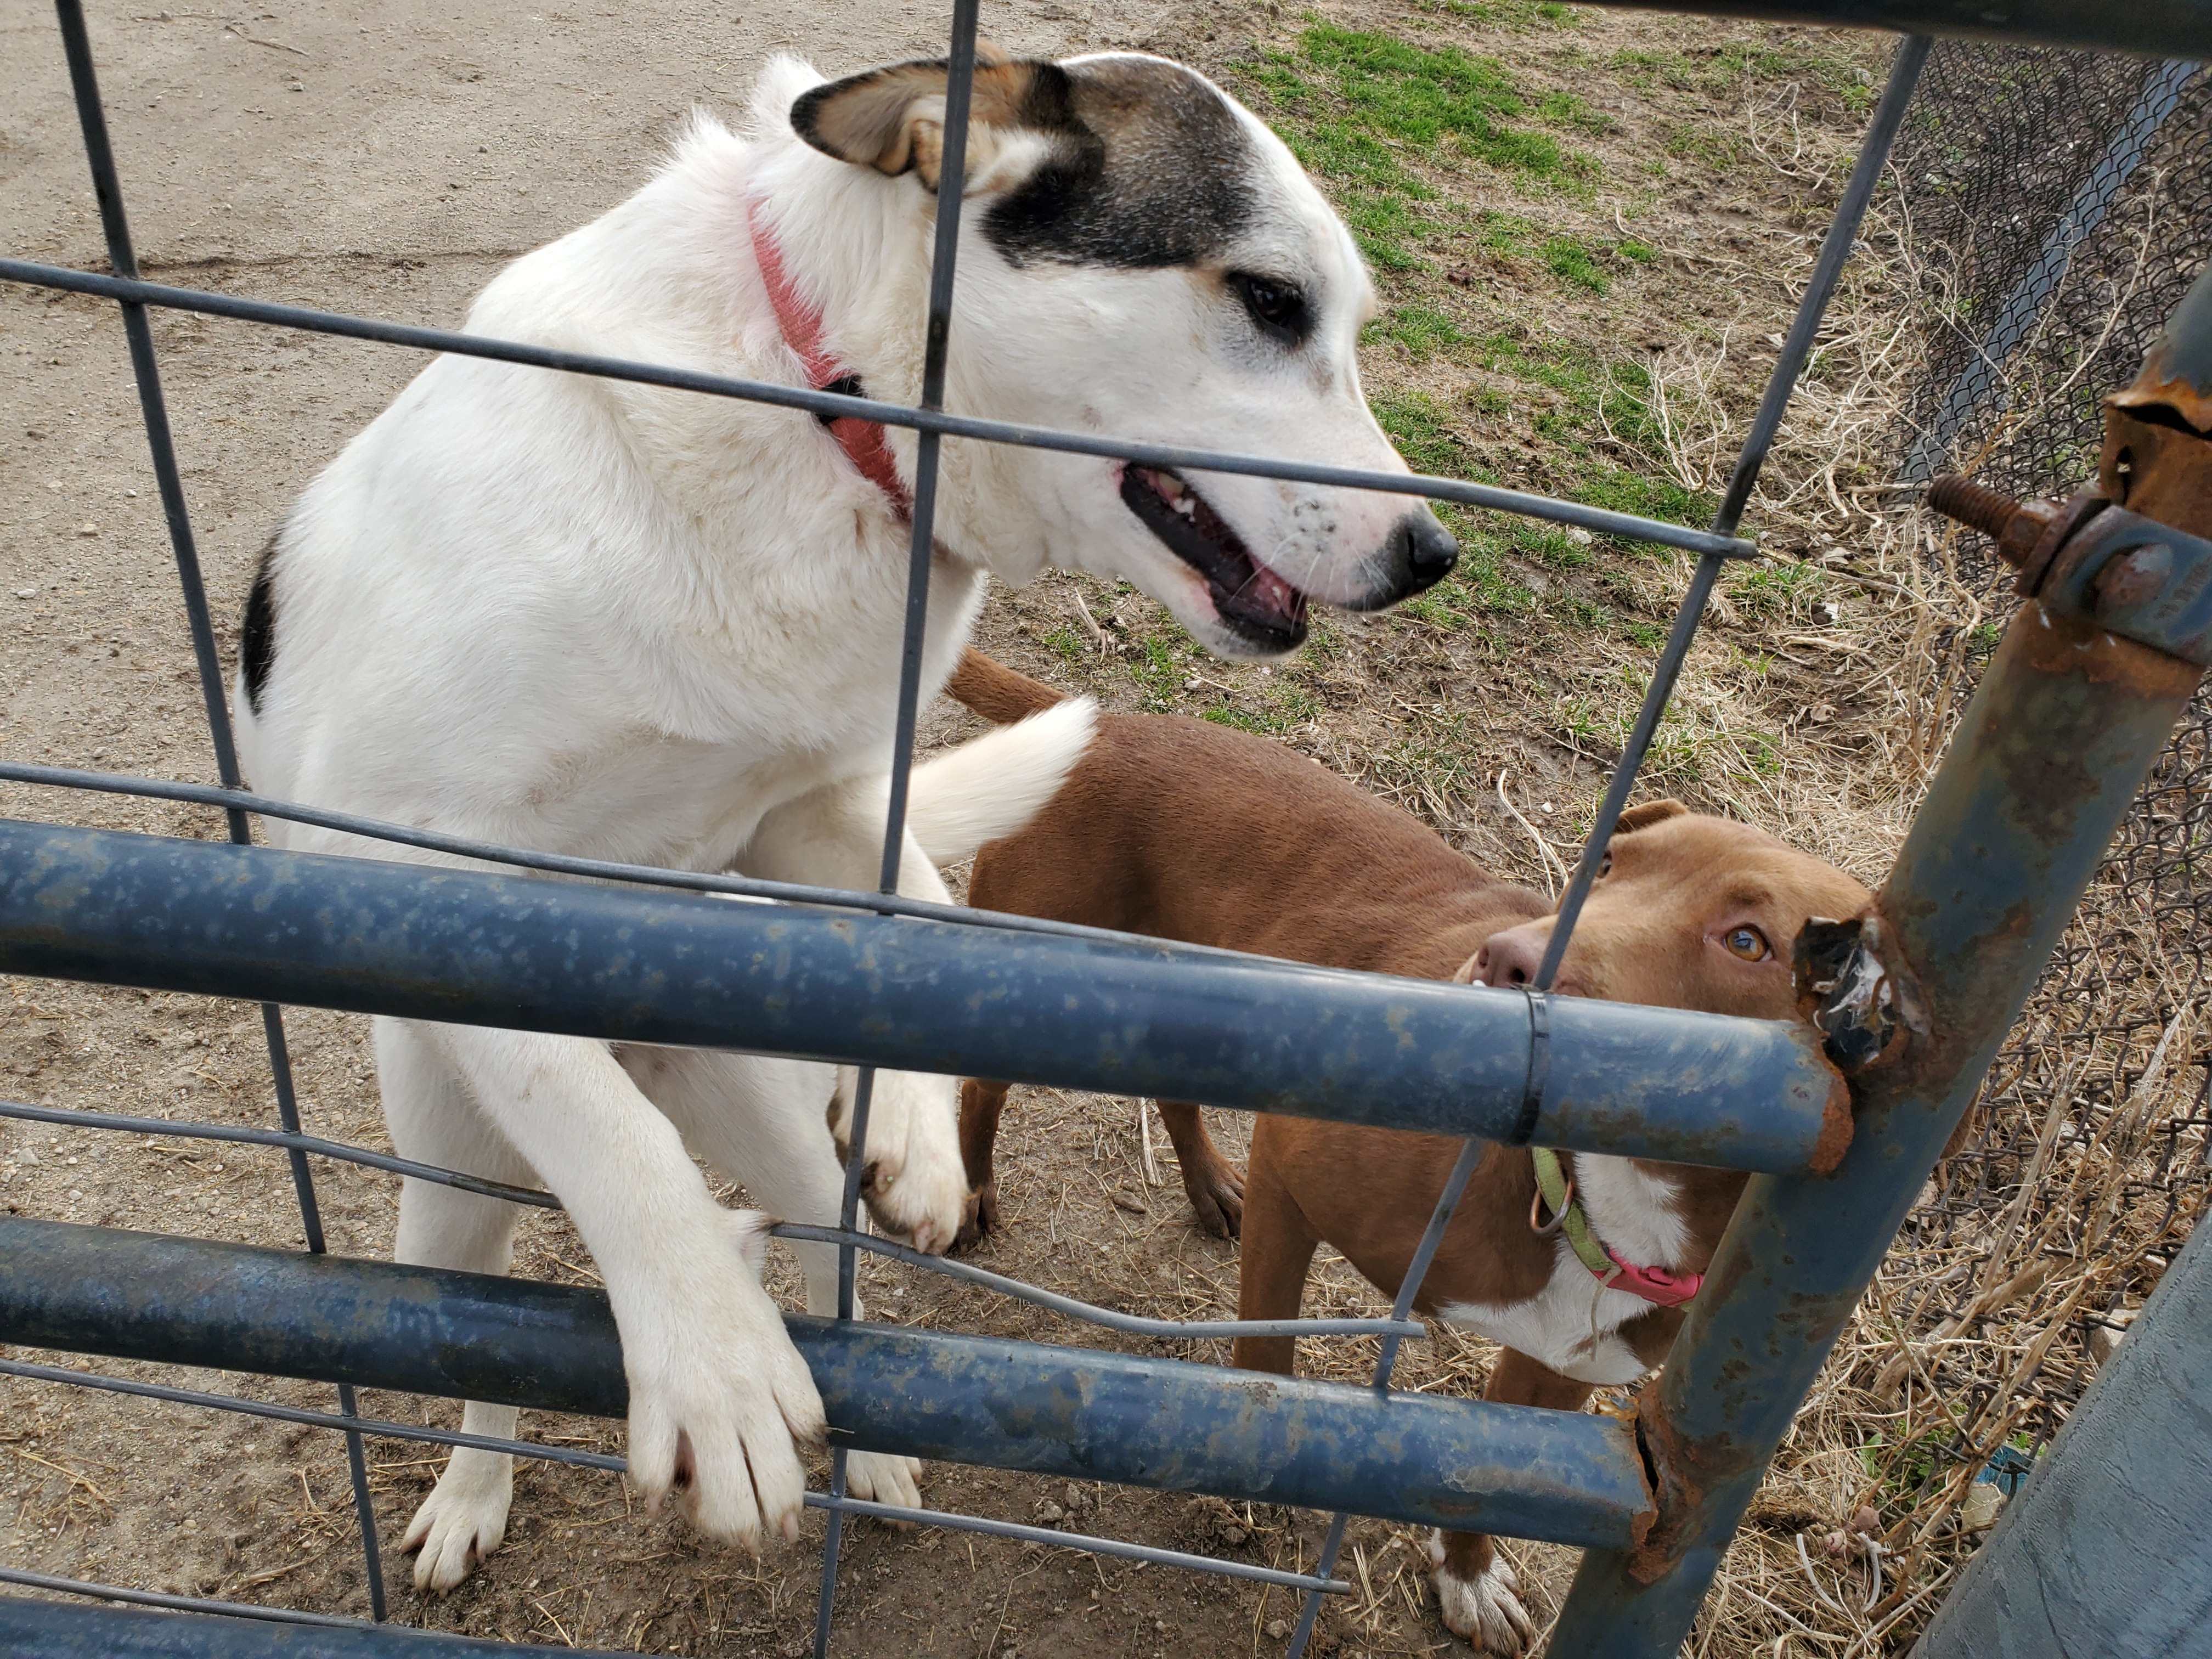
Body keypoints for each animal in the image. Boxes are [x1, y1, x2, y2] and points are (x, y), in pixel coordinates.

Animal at [238, 45, 1451, 1593]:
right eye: (1273, 301)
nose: (1433, 555)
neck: (828, 413)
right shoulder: (421, 858)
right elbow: (608, 1139)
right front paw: (713, 1366)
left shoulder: (795, 812)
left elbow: (924, 910)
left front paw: (924, 1131)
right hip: (451, 1177)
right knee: (480, 1318)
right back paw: (471, 1497)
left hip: (756, 1111)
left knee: (827, 1249)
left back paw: (872, 1438)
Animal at [951, 654, 1867, 1654]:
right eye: (1605, 866)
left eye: (1749, 942)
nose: (1505, 961)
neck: (1595, 1196)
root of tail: (1105, 723)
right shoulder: (1292, 1172)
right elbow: (1267, 1356)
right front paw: (1258, 1464)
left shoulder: (1559, 1374)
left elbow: (1497, 1479)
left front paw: (1466, 1576)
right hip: (1028, 966)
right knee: (976, 1089)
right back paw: (968, 1193)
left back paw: (1206, 1186)